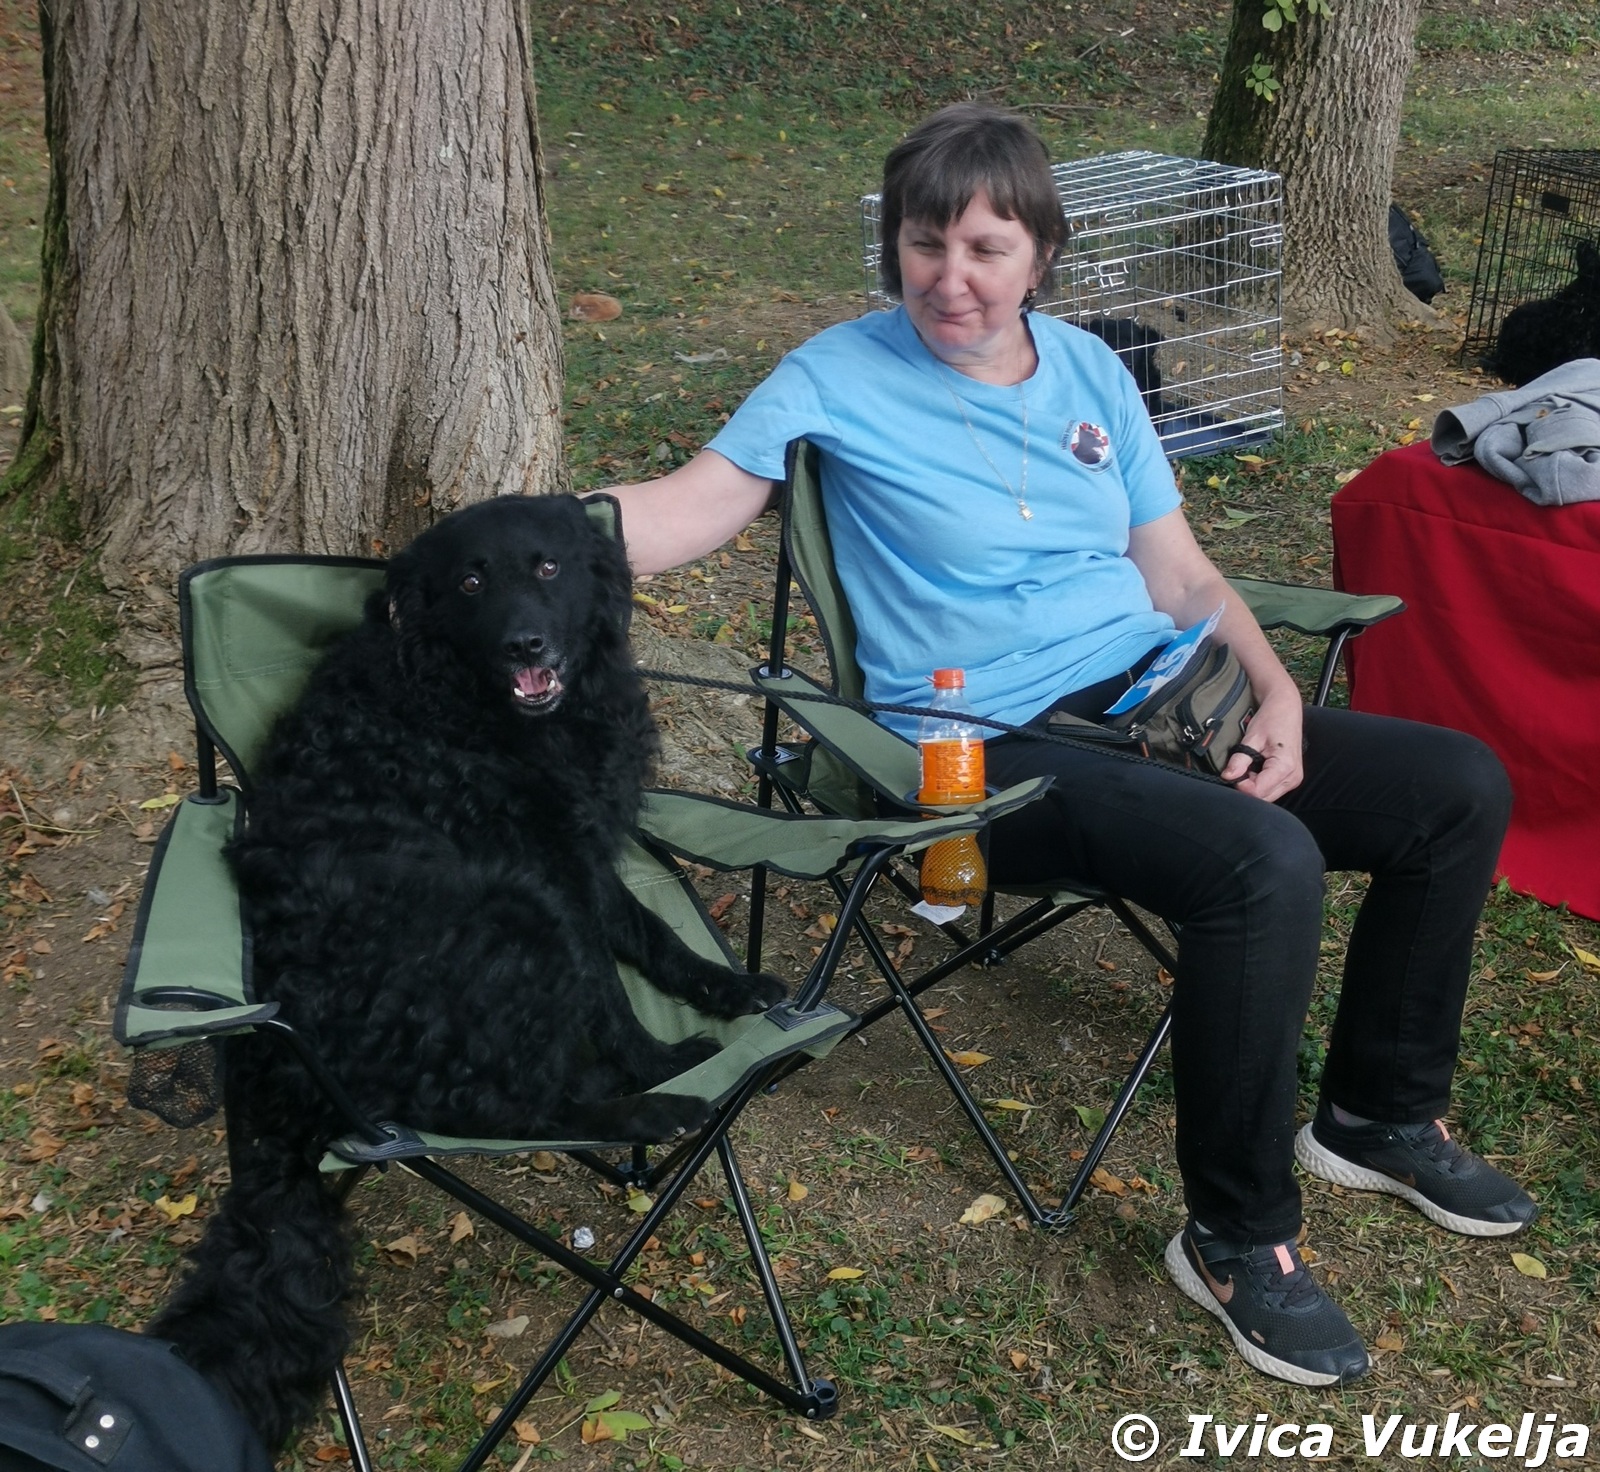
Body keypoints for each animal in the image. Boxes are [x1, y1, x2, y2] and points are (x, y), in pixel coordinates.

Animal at [148, 494, 786, 1452]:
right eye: (472, 582)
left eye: (549, 567)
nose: (526, 645)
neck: (464, 702)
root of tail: (272, 1070)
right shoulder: (548, 872)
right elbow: (608, 990)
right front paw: (662, 1057)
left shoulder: (587, 848)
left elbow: (649, 935)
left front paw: (731, 987)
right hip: (507, 915)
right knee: (511, 1106)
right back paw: (657, 1104)